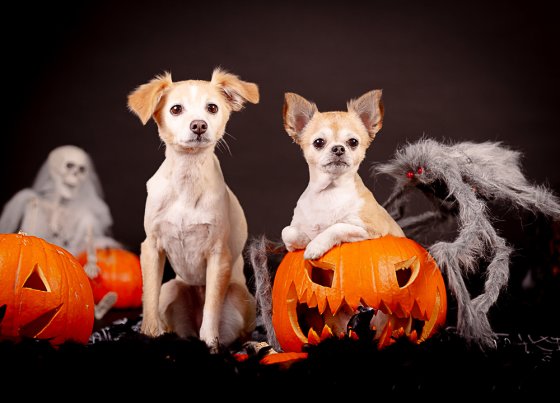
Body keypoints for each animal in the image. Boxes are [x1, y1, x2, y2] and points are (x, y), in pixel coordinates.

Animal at [127, 68, 258, 350]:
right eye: (176, 109)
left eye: (212, 108)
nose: (199, 125)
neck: (187, 177)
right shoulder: (151, 247)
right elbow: (148, 298)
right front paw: (149, 335)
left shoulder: (218, 255)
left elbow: (211, 310)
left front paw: (210, 345)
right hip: (171, 288)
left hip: (240, 295)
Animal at [282, 90, 404, 260]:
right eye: (318, 142)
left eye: (353, 142)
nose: (338, 148)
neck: (329, 191)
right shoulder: (295, 227)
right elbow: (287, 231)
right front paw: (304, 240)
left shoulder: (371, 228)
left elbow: (337, 226)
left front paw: (315, 245)